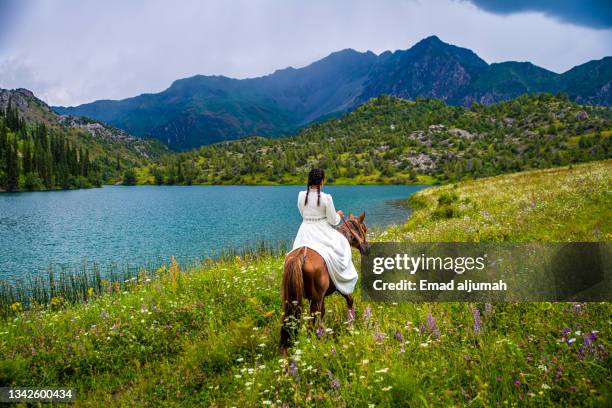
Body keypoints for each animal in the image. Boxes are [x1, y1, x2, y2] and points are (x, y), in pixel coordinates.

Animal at [280, 210, 370, 350]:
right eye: (364, 229)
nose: (367, 248)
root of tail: (300, 255)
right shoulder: (341, 287)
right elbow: (350, 301)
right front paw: (350, 328)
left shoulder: (319, 298)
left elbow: (322, 315)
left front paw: (324, 334)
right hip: (315, 301)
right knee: (310, 326)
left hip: (296, 301)